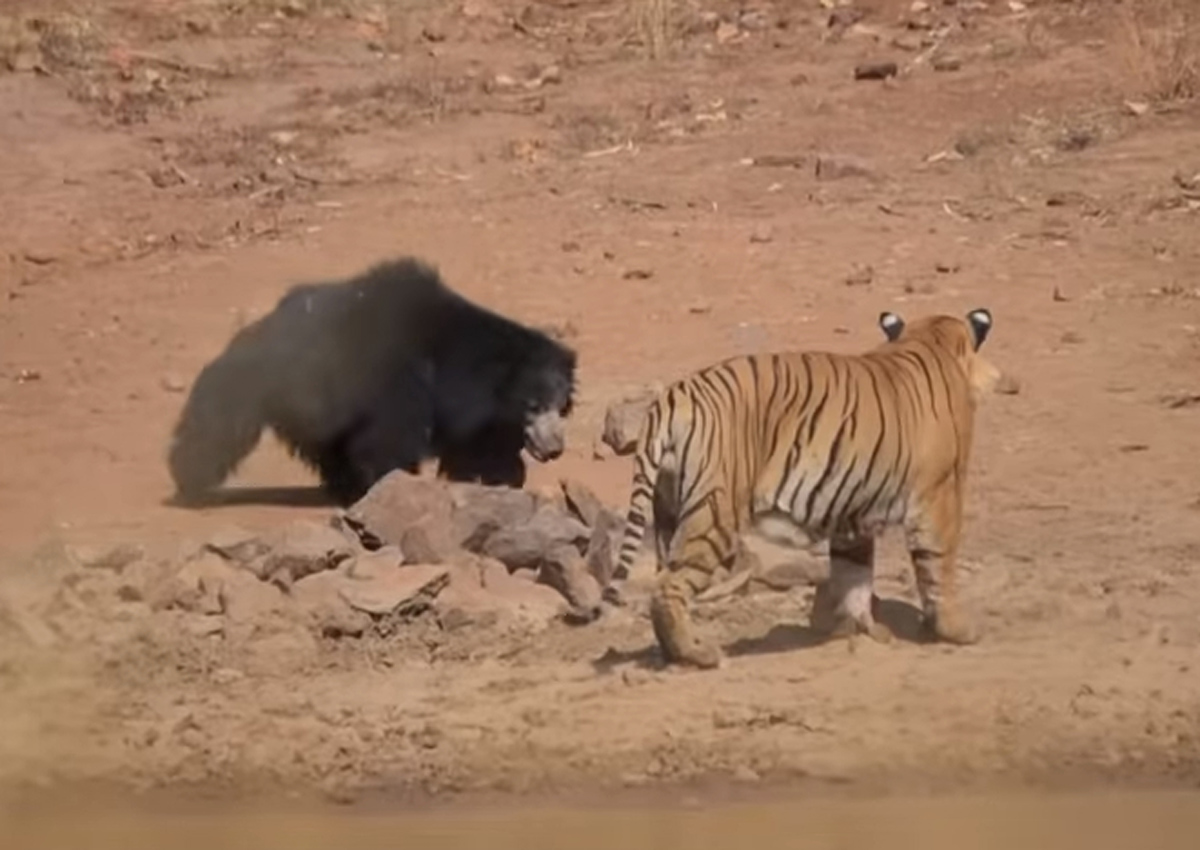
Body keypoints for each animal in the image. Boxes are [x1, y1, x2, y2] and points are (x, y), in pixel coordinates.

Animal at [166, 256, 577, 506]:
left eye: (561, 408)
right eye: (533, 406)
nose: (556, 449)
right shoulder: (399, 385)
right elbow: (388, 442)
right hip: (264, 385)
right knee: (217, 429)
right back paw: (191, 484)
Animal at [600, 308, 998, 670]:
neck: (931, 339)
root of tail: (673, 396)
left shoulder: (852, 512)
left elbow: (854, 577)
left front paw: (863, 631)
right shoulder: (941, 494)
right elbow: (939, 564)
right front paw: (957, 631)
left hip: (666, 512)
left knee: (661, 582)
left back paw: (674, 653)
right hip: (714, 516)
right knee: (668, 585)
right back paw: (698, 655)